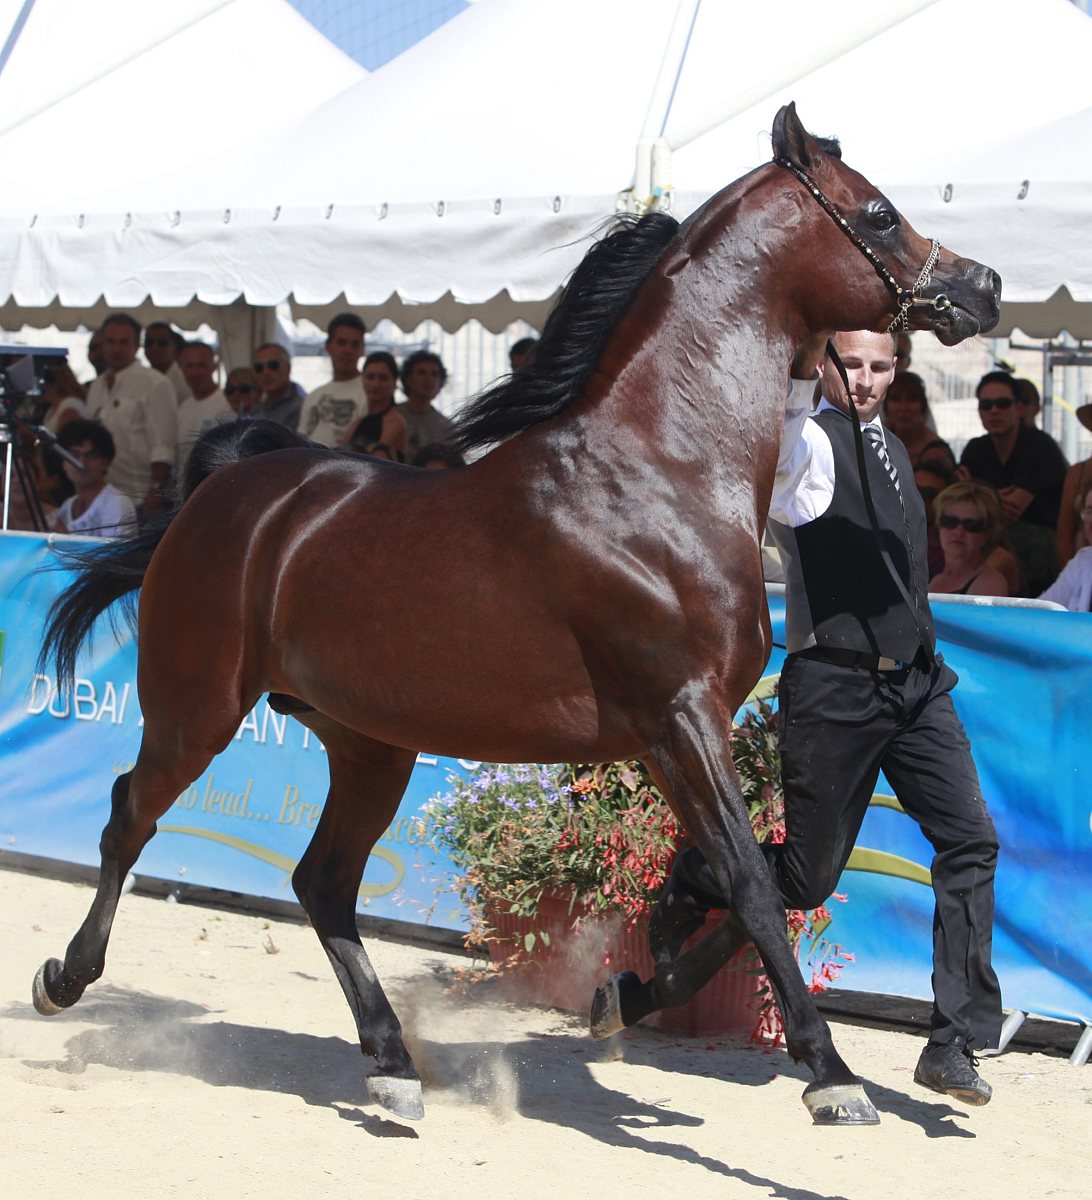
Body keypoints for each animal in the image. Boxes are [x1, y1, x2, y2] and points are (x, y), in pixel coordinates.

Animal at [31, 104, 1000, 1127]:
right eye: (880, 212)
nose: (981, 290)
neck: (663, 469)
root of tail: (228, 490)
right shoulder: (680, 718)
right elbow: (752, 884)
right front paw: (831, 1076)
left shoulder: (683, 732)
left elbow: (748, 885)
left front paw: (626, 995)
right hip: (197, 710)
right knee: (128, 818)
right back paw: (64, 979)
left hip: (370, 744)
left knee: (322, 884)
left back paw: (392, 1065)